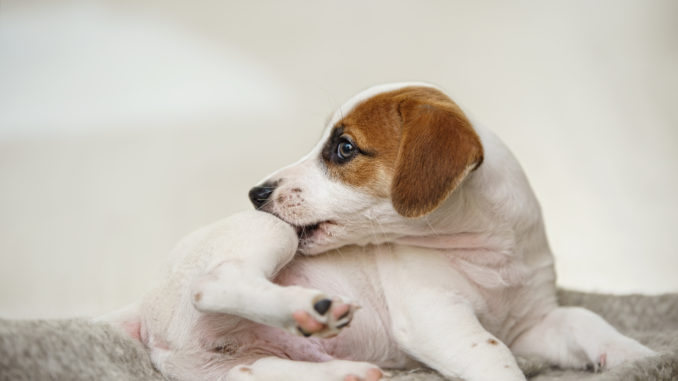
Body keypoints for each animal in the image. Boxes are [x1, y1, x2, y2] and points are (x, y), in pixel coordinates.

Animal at [109, 81, 656, 378]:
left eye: (344, 148)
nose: (257, 193)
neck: (486, 254)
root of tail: (143, 305)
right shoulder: (435, 316)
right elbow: (493, 355)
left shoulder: (533, 324)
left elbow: (586, 320)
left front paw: (635, 355)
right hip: (268, 238)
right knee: (215, 283)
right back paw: (310, 309)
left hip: (226, 365)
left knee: (254, 370)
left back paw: (348, 373)